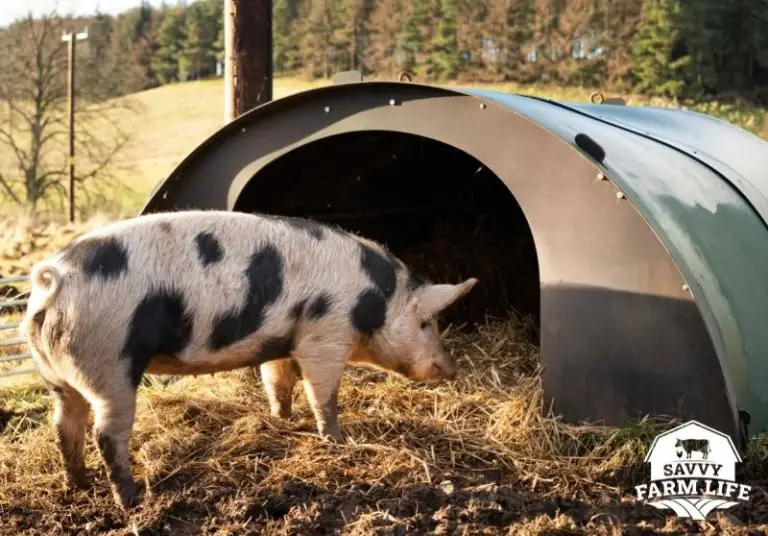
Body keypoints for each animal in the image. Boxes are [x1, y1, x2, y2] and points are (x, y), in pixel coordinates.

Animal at [20, 209, 477, 509]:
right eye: (426, 322)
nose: (452, 368)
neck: (374, 301)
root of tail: (54, 281)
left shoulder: (283, 341)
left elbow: (278, 381)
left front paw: (281, 421)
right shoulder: (324, 335)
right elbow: (323, 394)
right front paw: (337, 440)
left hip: (55, 372)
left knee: (64, 424)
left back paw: (78, 486)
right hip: (109, 362)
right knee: (105, 434)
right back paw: (132, 501)